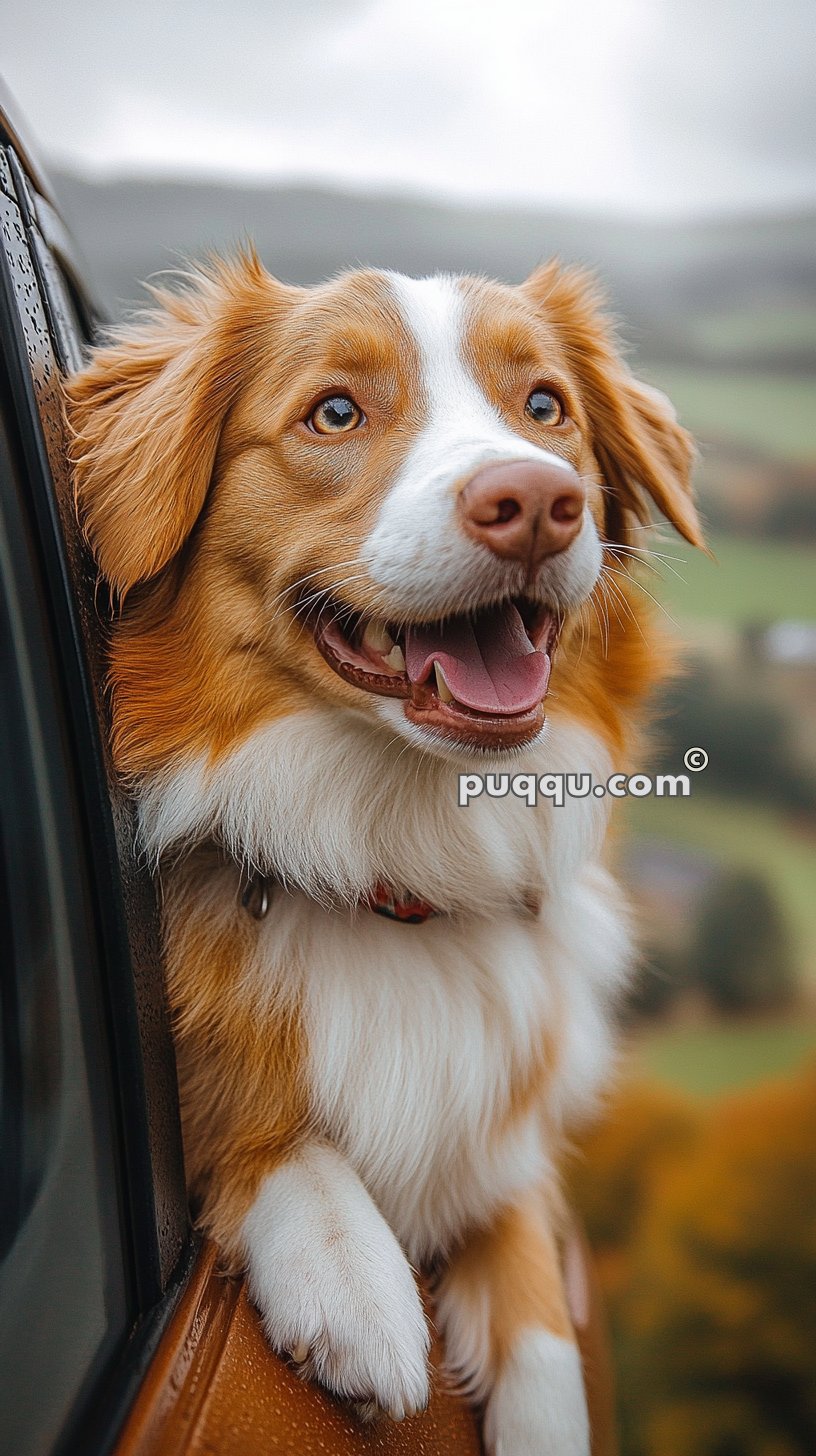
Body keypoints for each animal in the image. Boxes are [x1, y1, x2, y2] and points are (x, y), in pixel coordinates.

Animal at [65, 256, 702, 1450]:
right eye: (335, 413)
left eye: (545, 406)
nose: (536, 503)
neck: (401, 867)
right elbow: (271, 1137)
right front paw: (353, 1278)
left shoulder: (508, 1156)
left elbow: (540, 1317)